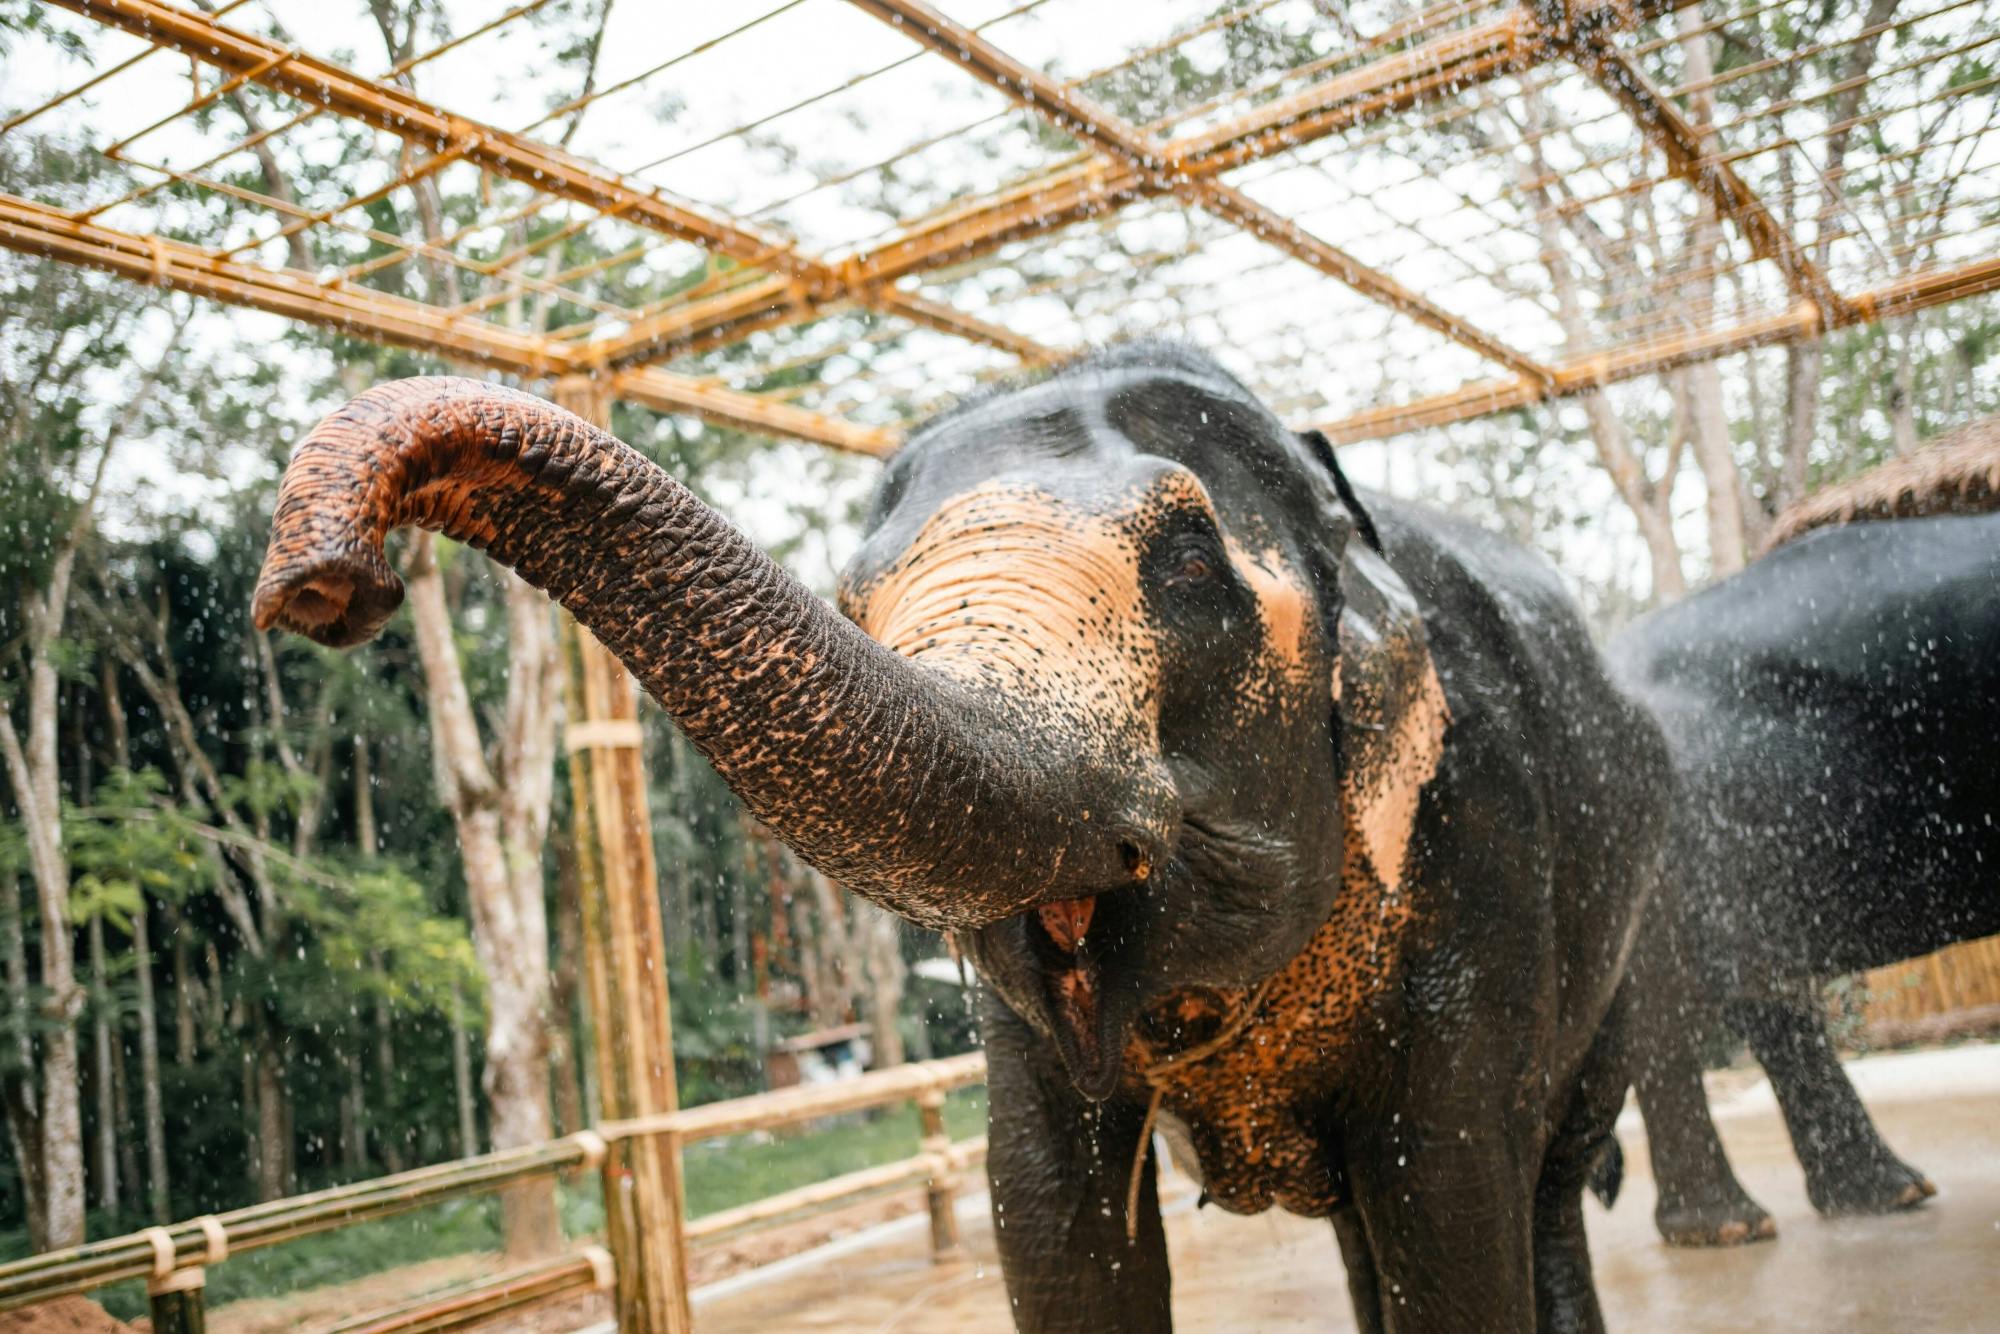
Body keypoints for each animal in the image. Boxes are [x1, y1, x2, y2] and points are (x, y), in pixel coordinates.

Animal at [254, 343, 1674, 1333]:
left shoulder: (1483, 840)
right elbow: (1044, 1213)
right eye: (854, 597)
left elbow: (1446, 1191)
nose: (321, 585)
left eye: (1188, 563)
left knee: (1542, 1183)